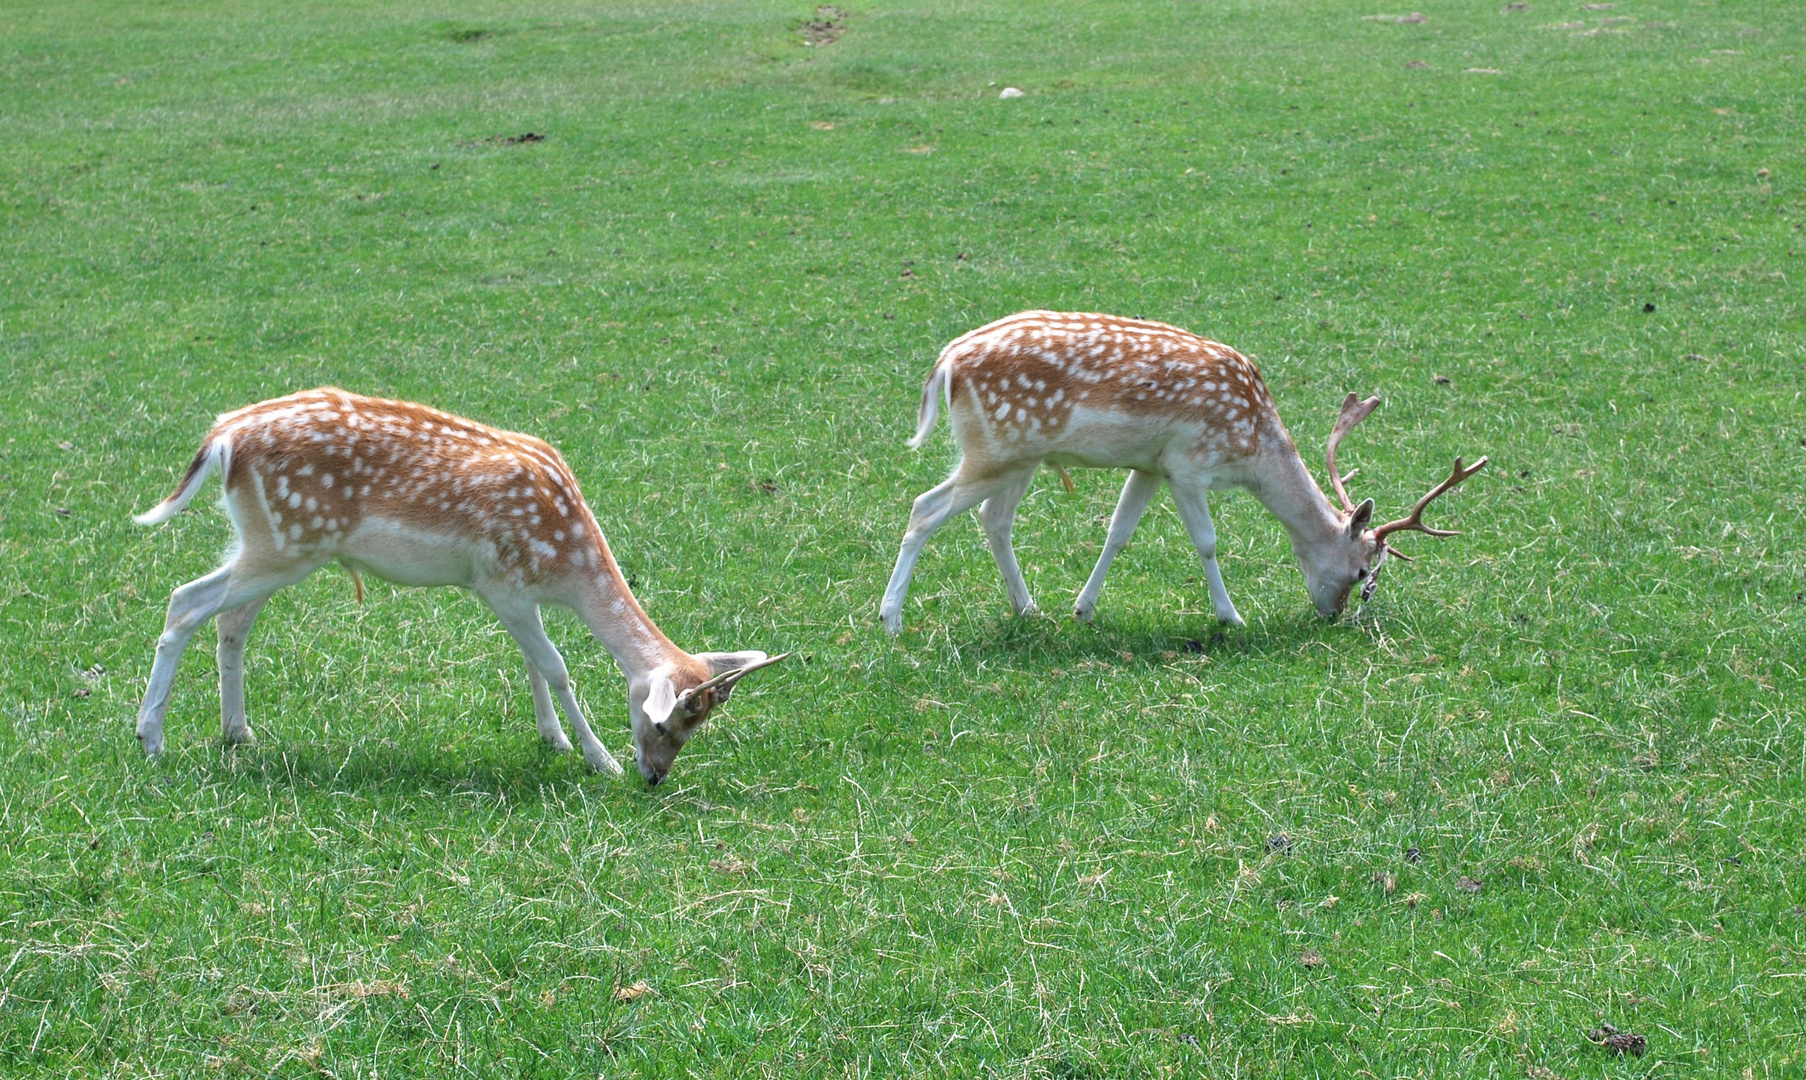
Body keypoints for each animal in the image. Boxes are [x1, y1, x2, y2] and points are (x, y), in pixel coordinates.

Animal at [133, 390, 783, 787]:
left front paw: (553, 740)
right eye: (667, 724)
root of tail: (222, 438)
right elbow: (555, 665)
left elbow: (531, 662)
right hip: (284, 545)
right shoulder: (501, 584)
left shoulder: (514, 592)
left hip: (272, 544)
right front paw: (599, 759)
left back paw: (237, 731)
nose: (653, 776)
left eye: (698, 727)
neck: (566, 565)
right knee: (184, 601)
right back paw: (151, 738)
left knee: (229, 621)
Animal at [874, 310, 1480, 635]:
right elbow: (1207, 542)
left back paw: (1027, 608)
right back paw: (891, 619)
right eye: (1362, 574)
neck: (1252, 448)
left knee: (992, 519)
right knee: (925, 507)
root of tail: (945, 363)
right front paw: (1231, 616)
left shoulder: (1151, 464)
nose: (1333, 615)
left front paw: (1083, 608)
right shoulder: (1190, 465)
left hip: (1019, 457)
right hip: (996, 449)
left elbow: (1119, 532)